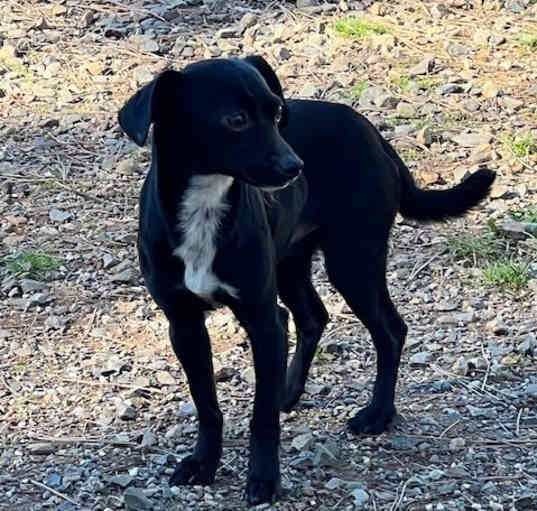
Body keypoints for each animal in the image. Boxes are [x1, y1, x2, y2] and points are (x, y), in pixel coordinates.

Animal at [118, 56, 494, 504]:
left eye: (277, 112)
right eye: (236, 120)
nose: (294, 167)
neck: (204, 206)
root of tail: (372, 133)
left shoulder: (260, 319)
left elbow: (261, 417)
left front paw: (264, 479)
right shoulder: (184, 324)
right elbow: (206, 403)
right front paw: (203, 464)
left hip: (353, 260)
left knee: (390, 329)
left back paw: (377, 414)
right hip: (292, 264)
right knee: (312, 316)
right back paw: (288, 390)